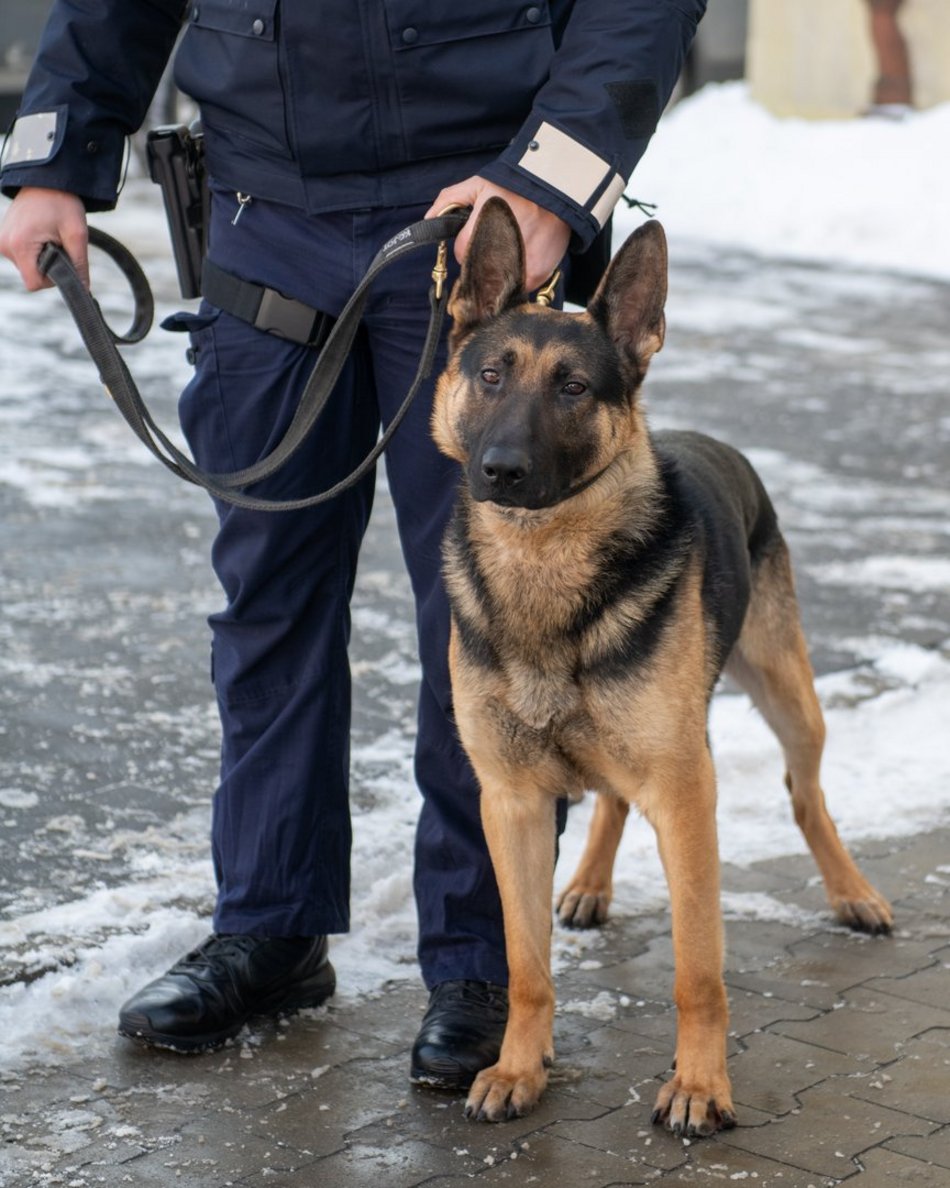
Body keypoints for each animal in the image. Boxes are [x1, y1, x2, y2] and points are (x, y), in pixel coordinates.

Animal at [434, 199, 893, 1135]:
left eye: (574, 388)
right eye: (491, 375)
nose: (501, 471)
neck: (544, 569)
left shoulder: (686, 799)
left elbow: (698, 971)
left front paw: (699, 1087)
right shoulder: (512, 800)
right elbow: (526, 968)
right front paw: (518, 1068)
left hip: (787, 696)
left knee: (805, 794)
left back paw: (853, 891)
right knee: (612, 797)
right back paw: (588, 884)